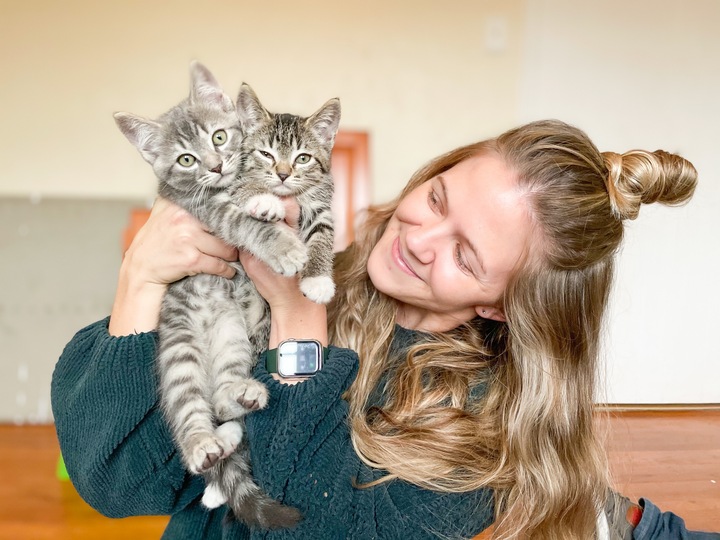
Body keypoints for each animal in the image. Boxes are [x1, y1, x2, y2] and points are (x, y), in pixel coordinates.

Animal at [111, 62, 338, 528]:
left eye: (219, 137)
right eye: (186, 159)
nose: (216, 167)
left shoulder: (320, 204)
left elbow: (322, 233)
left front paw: (316, 277)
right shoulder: (207, 209)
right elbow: (246, 217)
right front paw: (278, 232)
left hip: (233, 336)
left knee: (222, 397)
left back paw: (236, 415)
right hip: (179, 350)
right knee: (190, 404)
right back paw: (205, 448)